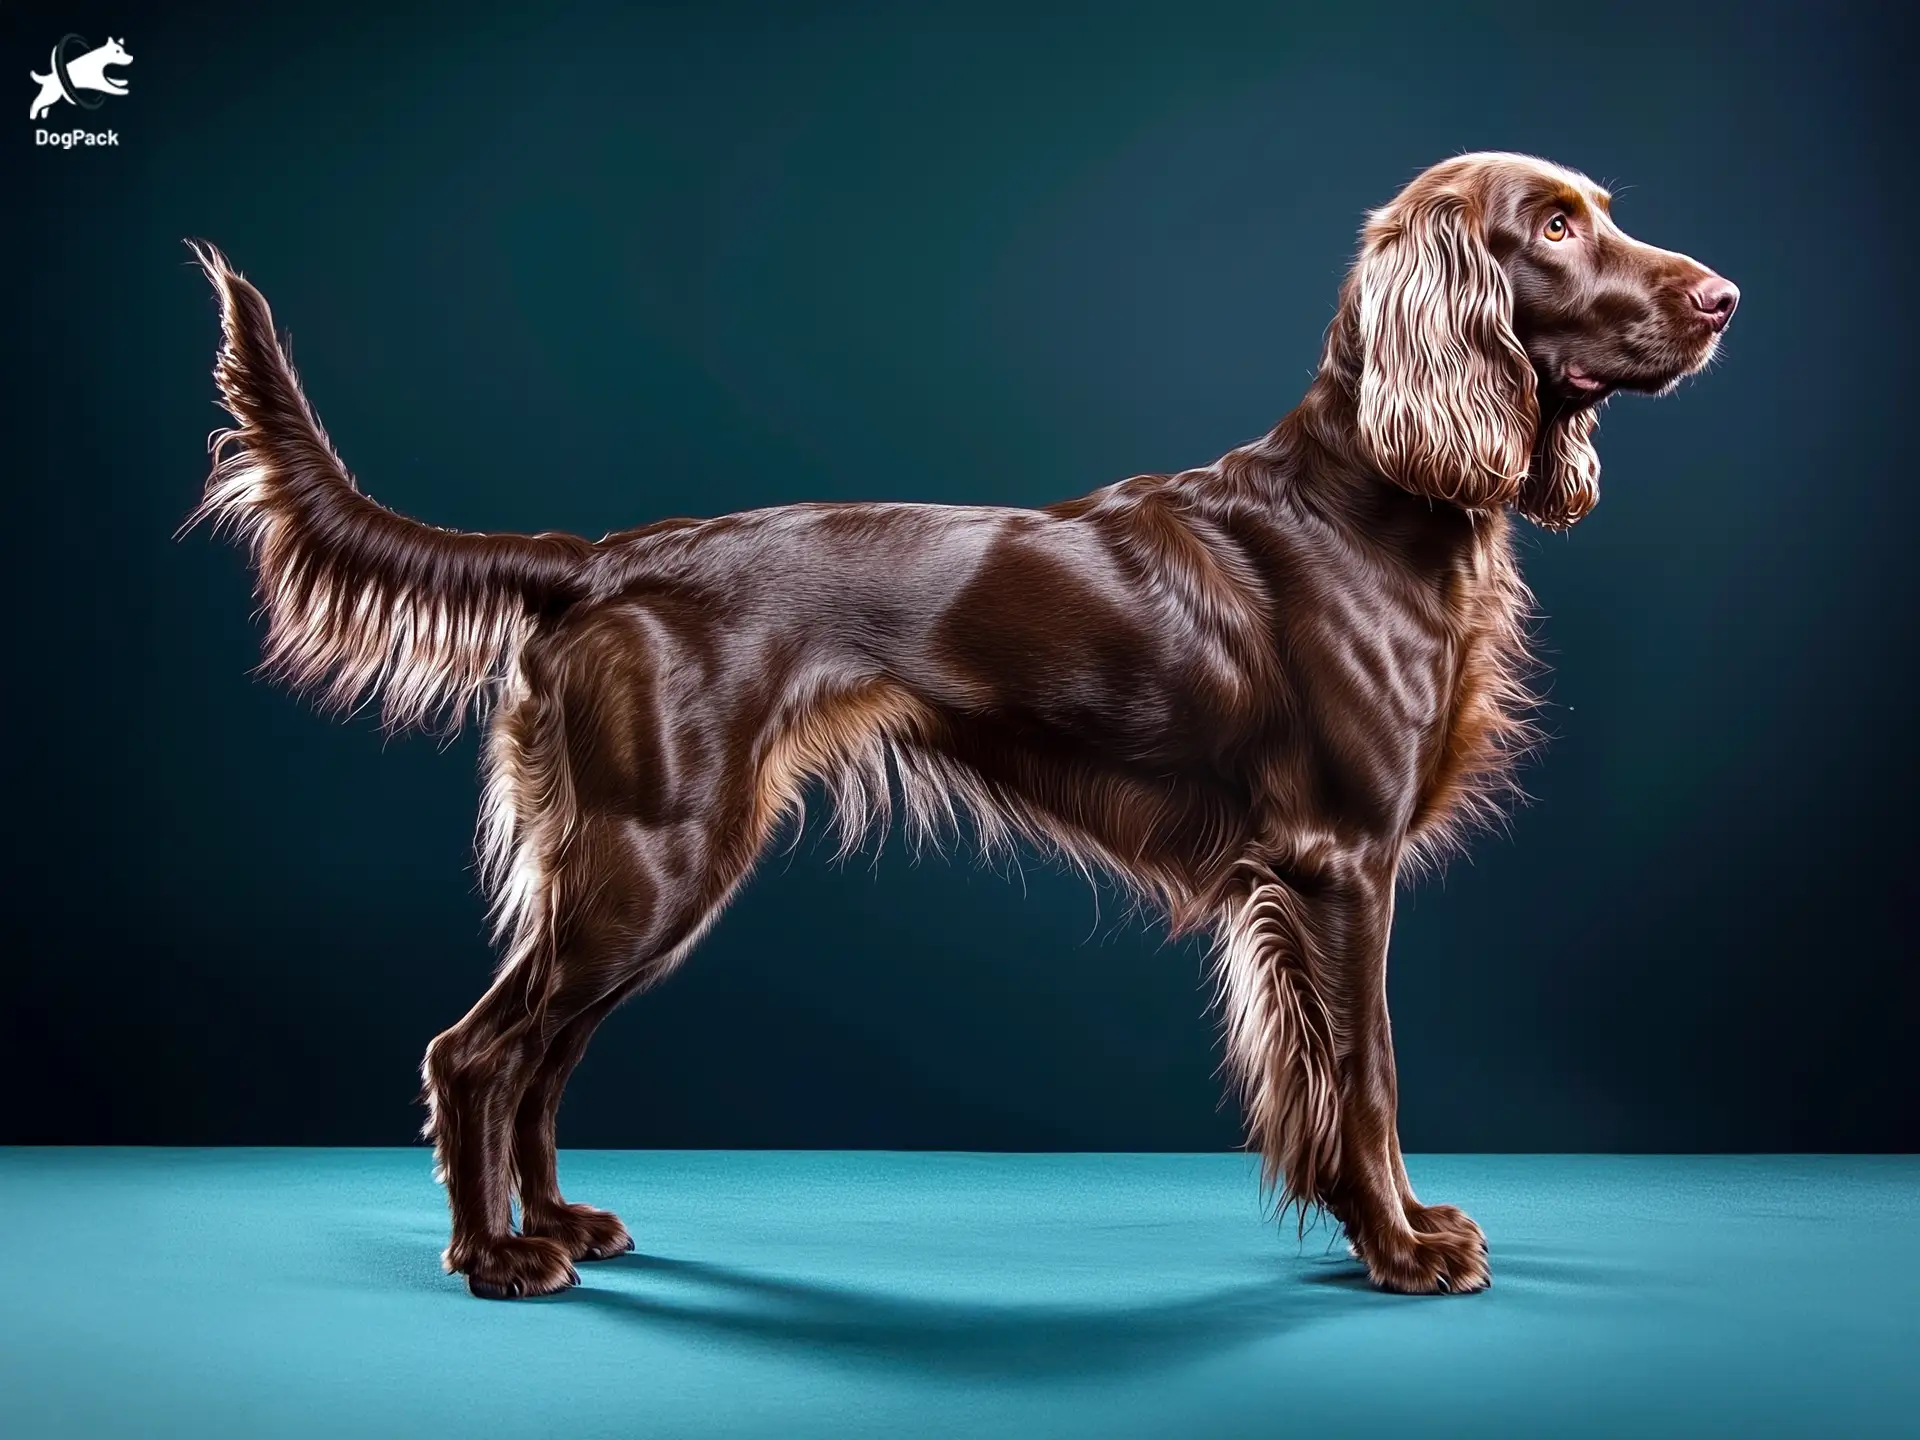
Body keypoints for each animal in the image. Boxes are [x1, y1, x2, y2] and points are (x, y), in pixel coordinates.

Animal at [191, 152, 1743, 1305]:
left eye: (1601, 209)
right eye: (1554, 226)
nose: (1726, 296)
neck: (1377, 496)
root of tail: (602, 562)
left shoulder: (1315, 880)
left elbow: (1341, 1079)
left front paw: (1393, 1228)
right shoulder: (1339, 864)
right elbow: (1369, 1075)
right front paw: (1403, 1249)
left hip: (639, 869)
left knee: (541, 1059)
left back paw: (558, 1227)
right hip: (653, 856)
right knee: (479, 1053)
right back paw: (492, 1257)